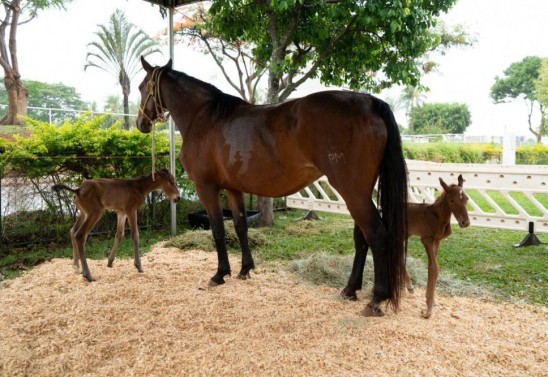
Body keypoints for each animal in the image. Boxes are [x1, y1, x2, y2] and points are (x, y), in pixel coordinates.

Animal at [52, 169, 180, 280]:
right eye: (171, 182)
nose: (177, 198)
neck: (139, 188)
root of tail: (78, 190)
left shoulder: (121, 212)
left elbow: (119, 235)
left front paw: (110, 262)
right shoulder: (131, 210)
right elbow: (135, 235)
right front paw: (139, 266)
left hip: (83, 213)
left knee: (72, 231)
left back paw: (76, 266)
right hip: (95, 212)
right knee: (80, 235)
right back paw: (87, 275)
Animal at [135, 56, 406, 314]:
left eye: (141, 87)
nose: (140, 124)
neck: (205, 117)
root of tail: (370, 103)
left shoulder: (206, 187)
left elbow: (218, 229)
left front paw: (220, 274)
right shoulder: (233, 188)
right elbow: (241, 226)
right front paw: (245, 269)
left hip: (352, 192)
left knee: (377, 234)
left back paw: (376, 300)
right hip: (359, 193)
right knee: (361, 237)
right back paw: (350, 290)